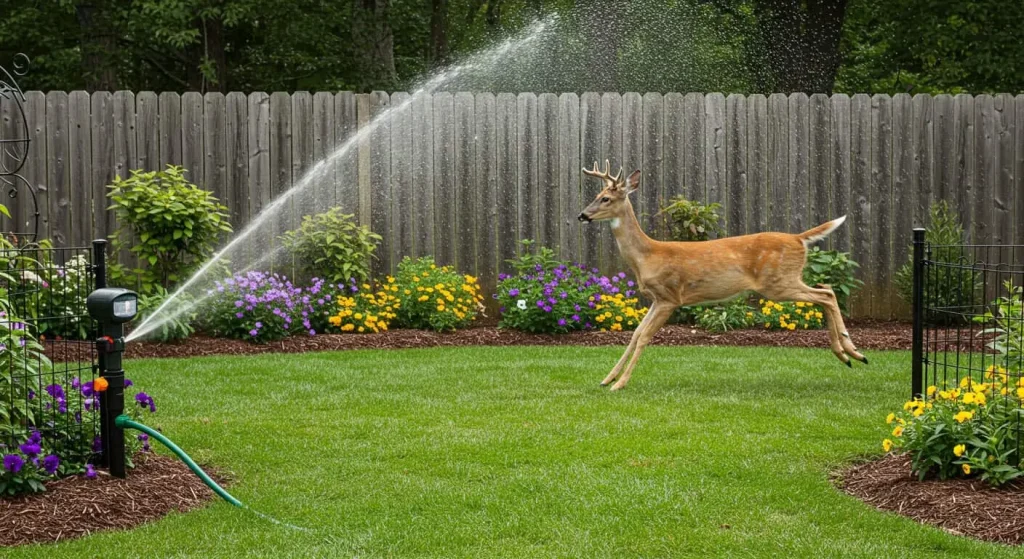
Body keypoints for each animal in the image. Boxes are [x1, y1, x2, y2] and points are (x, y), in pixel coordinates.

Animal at [577, 158, 864, 389]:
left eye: (606, 198)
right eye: (599, 194)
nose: (582, 215)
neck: (647, 256)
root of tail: (798, 238)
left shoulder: (670, 296)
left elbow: (645, 336)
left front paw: (620, 384)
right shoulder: (656, 299)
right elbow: (636, 333)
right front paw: (607, 378)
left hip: (778, 283)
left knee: (826, 295)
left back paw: (853, 351)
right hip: (786, 280)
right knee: (826, 289)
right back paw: (848, 354)